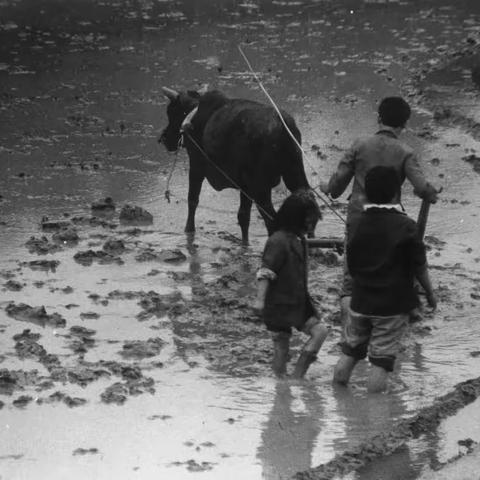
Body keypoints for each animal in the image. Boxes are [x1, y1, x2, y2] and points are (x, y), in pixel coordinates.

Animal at [158, 87, 318, 244]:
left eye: (171, 112)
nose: (163, 138)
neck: (193, 114)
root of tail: (283, 128)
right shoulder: (244, 186)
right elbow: (243, 217)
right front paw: (245, 243)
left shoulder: (197, 165)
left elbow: (192, 200)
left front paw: (188, 230)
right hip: (293, 175)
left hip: (260, 189)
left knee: (272, 220)